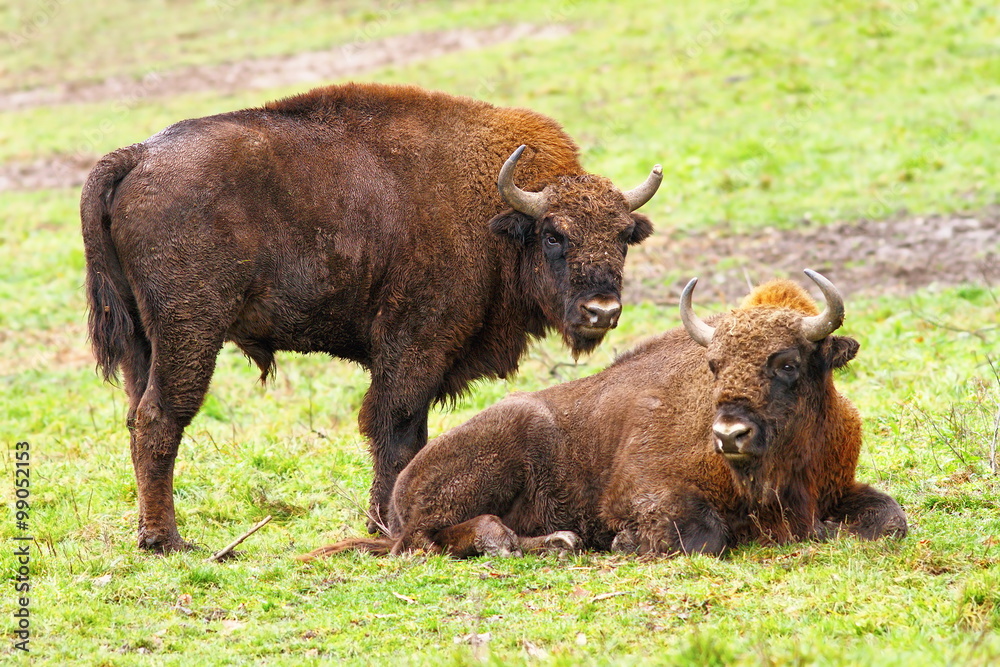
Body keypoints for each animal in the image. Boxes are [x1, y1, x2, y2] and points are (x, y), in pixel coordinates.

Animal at [82, 82, 664, 552]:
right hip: (190, 330)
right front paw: (384, 524)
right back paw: (167, 541)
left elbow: (410, 435)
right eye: (554, 235)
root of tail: (136, 156)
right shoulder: (415, 346)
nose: (601, 310)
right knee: (161, 418)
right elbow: (396, 429)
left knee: (136, 415)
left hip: (143, 340)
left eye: (623, 235)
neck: (494, 216)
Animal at [302, 270, 908, 560]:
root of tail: (401, 489)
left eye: (786, 362)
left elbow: (890, 519)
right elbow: (703, 534)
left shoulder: (839, 486)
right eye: (713, 364)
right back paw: (546, 542)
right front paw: (625, 544)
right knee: (429, 540)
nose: (730, 434)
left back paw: (559, 543)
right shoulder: (643, 491)